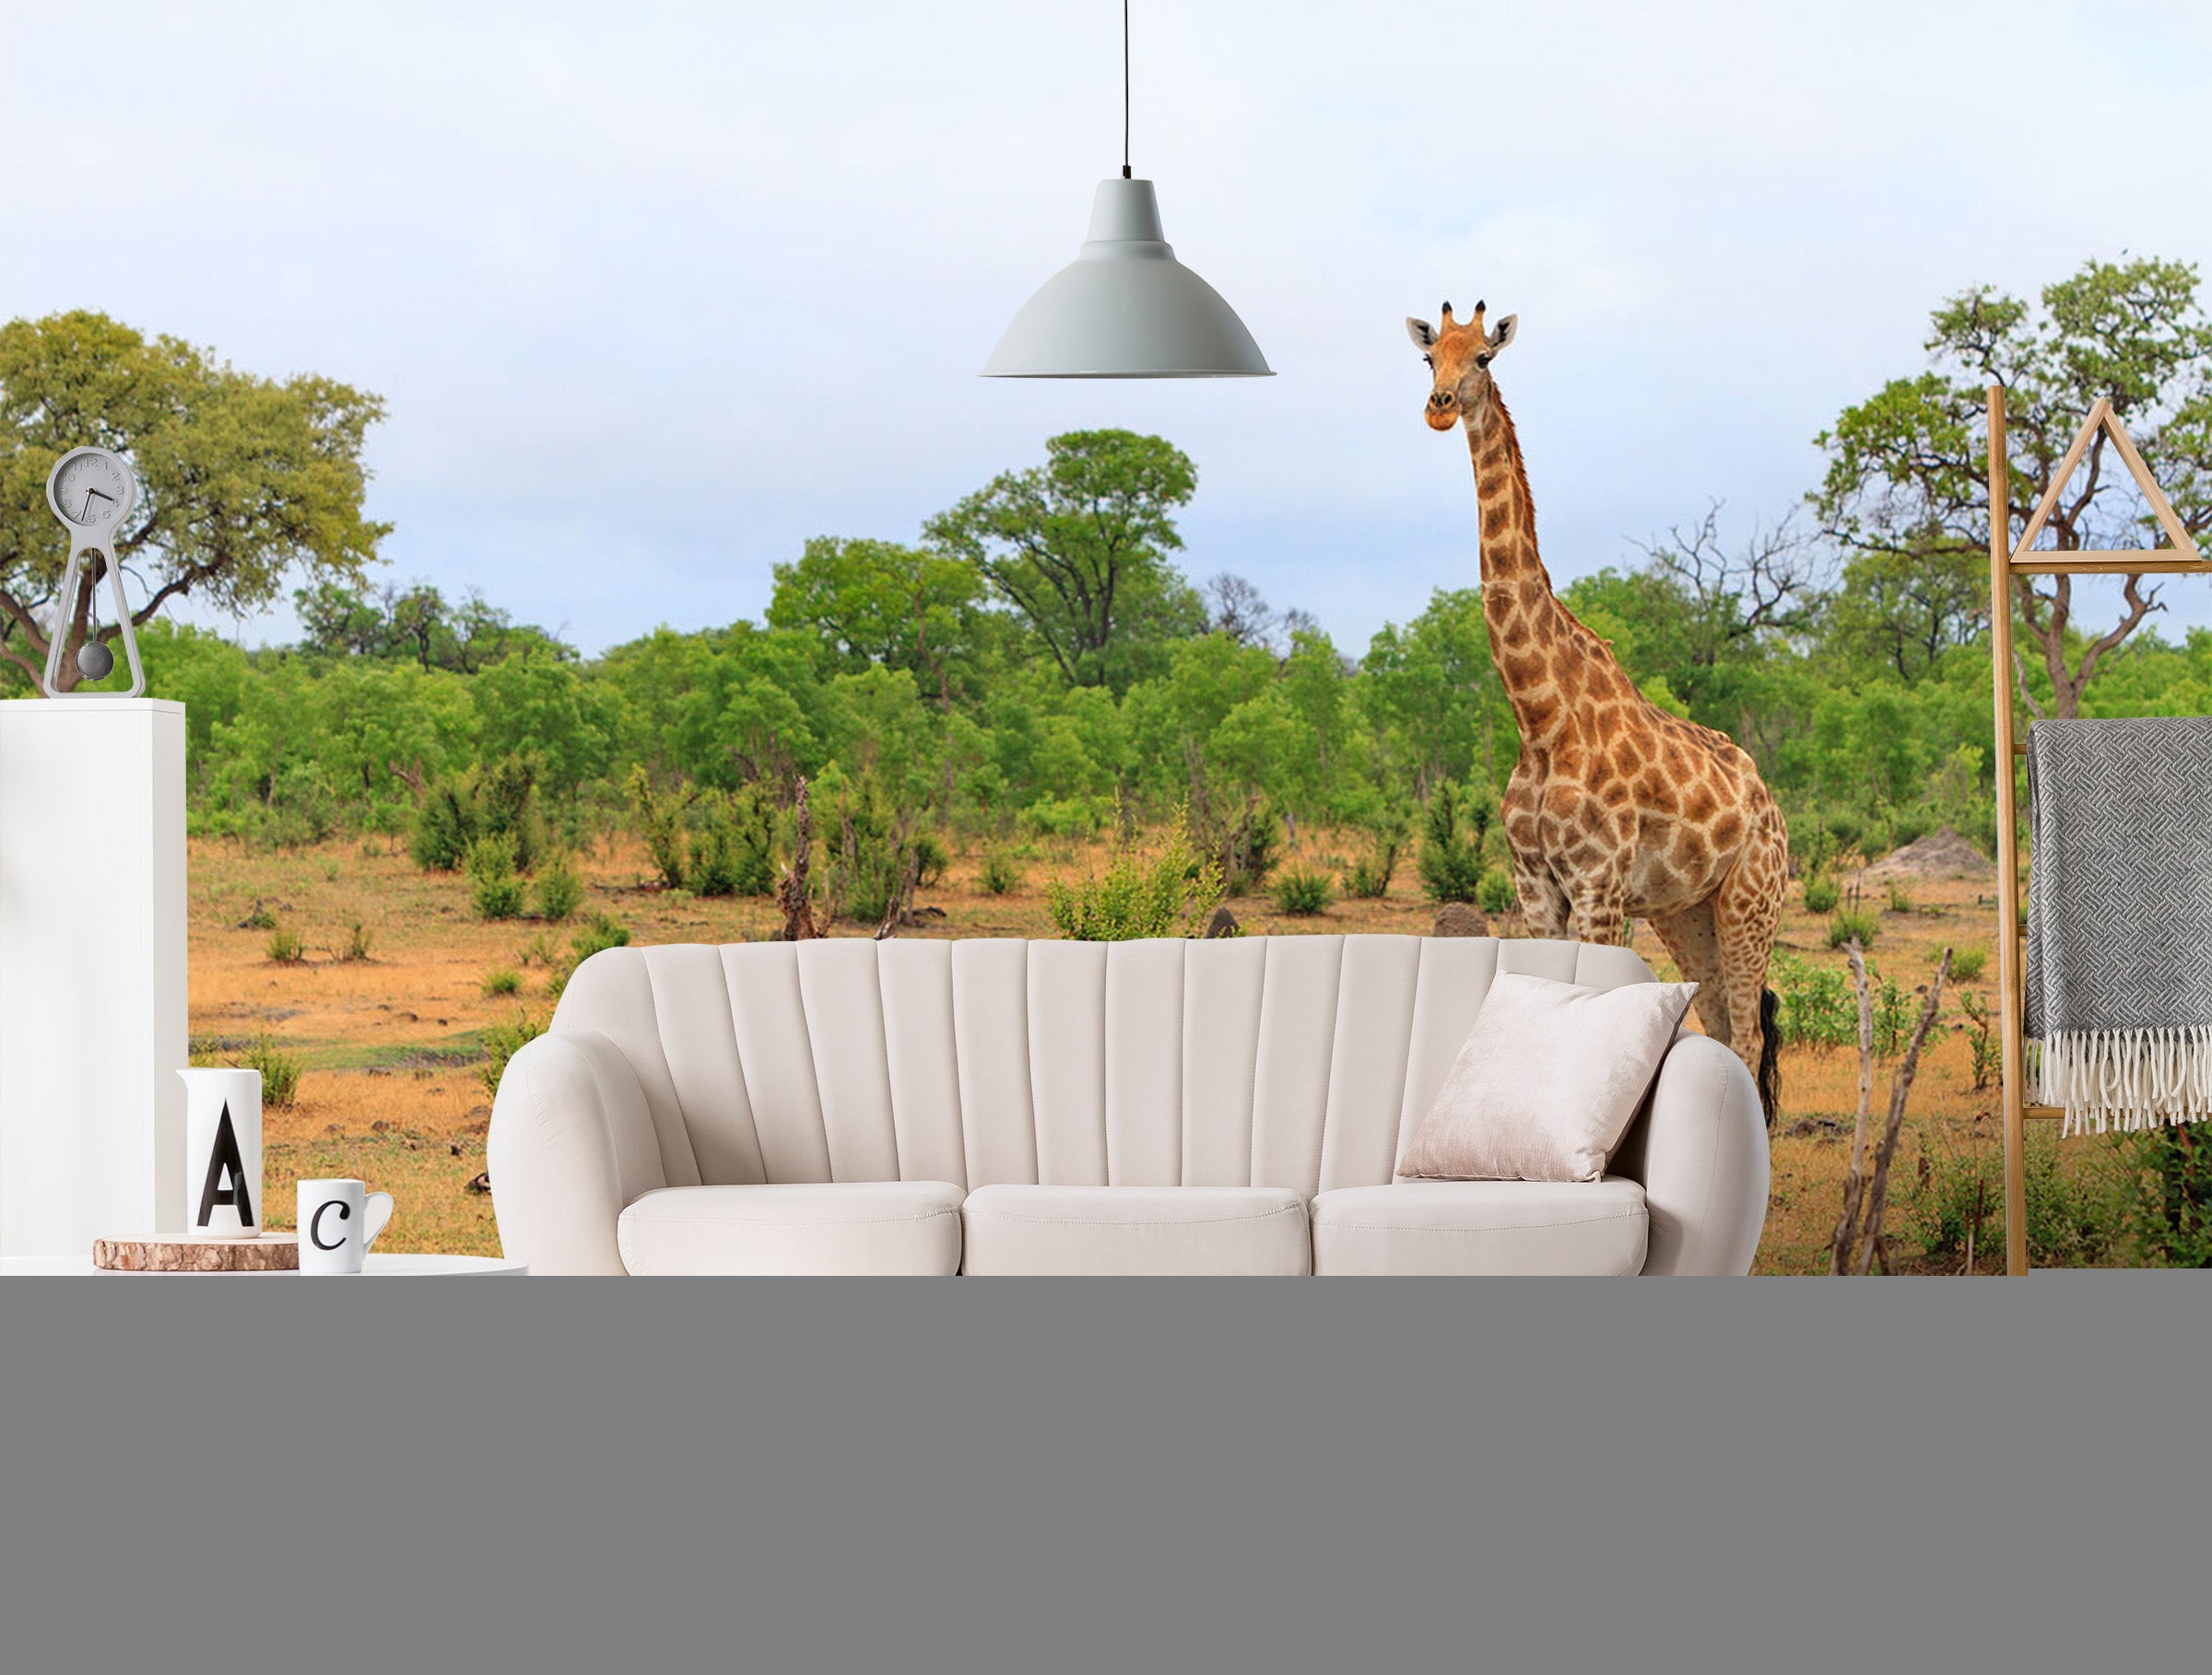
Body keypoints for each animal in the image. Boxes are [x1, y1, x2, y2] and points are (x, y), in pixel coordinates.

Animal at [1408, 299, 1789, 1119]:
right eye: (1429, 358)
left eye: (1484, 357)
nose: (1440, 407)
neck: (1539, 715)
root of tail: (1771, 804)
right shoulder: (1537, 890)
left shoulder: (1599, 886)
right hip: (1686, 910)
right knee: (1718, 1021)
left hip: (1751, 900)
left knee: (1748, 1034)